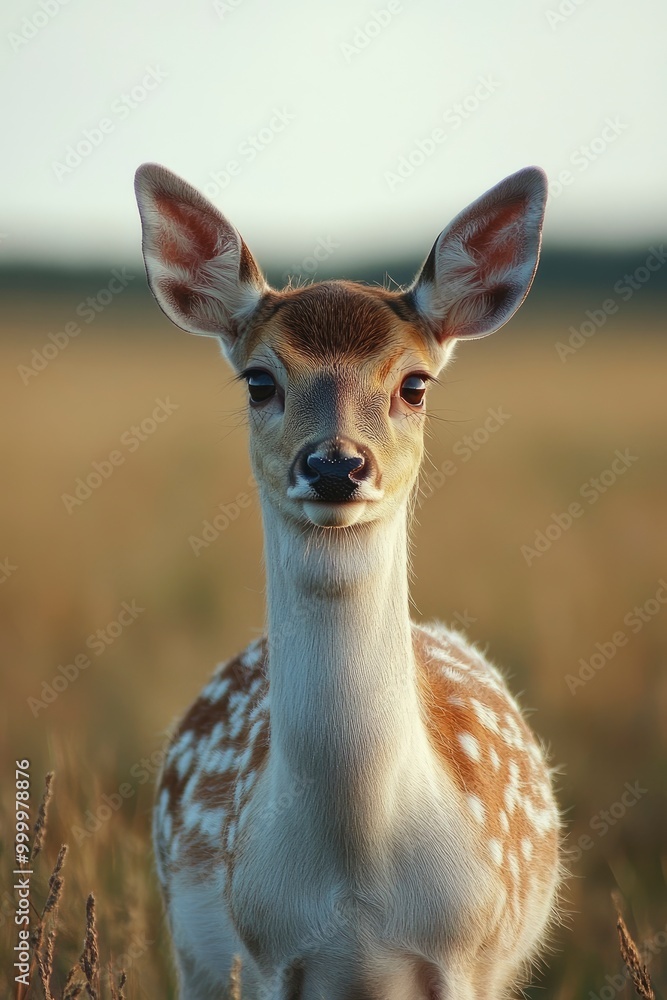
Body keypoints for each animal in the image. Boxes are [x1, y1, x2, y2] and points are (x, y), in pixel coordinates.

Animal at [134, 162, 562, 1000]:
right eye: (258, 381)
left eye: (415, 384)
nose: (336, 465)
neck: (357, 866)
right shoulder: (265, 947)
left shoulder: (468, 950)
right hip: (191, 952)